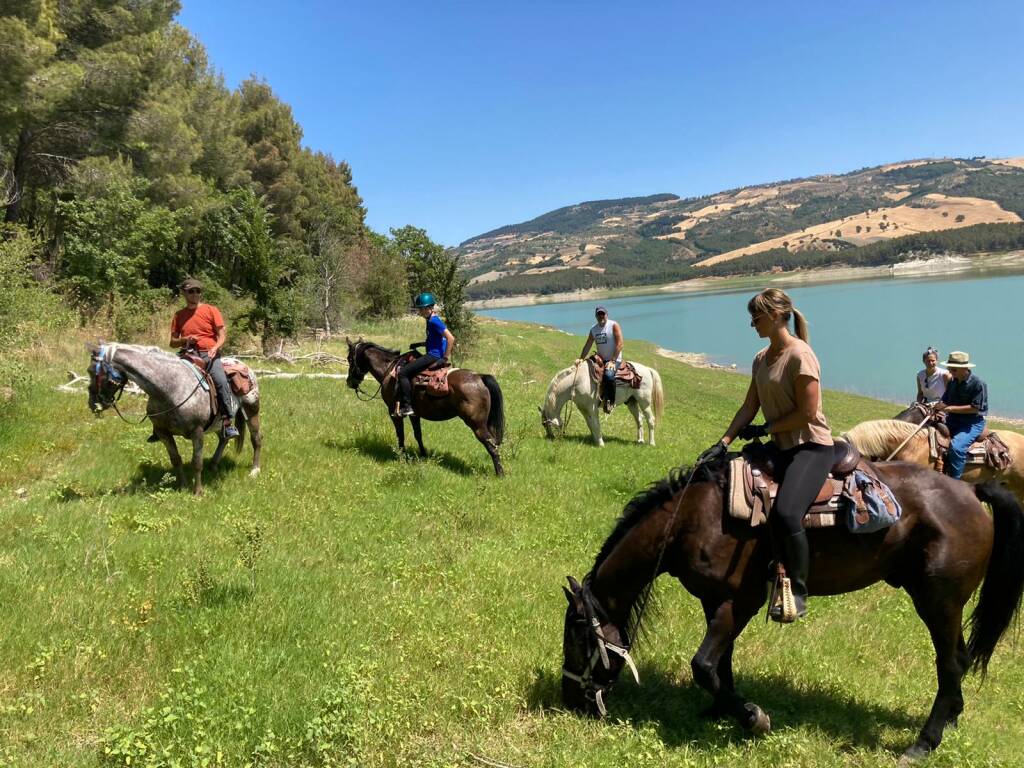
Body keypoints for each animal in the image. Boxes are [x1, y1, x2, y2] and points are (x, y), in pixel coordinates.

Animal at [88, 344, 262, 499]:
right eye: (89, 371)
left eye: (94, 372)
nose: (92, 404)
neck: (170, 388)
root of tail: (246, 367)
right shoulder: (162, 432)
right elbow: (176, 459)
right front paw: (183, 486)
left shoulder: (197, 431)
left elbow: (196, 462)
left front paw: (198, 492)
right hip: (219, 422)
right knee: (224, 438)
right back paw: (213, 464)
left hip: (252, 411)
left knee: (256, 439)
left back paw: (254, 471)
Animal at [346, 342, 505, 479]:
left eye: (349, 359)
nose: (349, 382)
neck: (389, 370)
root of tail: (479, 377)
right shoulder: (414, 414)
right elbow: (418, 435)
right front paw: (423, 455)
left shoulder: (394, 413)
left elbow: (400, 436)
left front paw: (401, 457)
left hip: (476, 424)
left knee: (491, 445)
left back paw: (500, 474)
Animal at [561, 456, 1024, 765]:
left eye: (580, 635)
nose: (570, 701)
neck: (692, 519)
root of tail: (970, 491)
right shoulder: (716, 601)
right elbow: (720, 663)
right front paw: (721, 710)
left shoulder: (741, 602)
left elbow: (703, 665)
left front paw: (752, 717)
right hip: (944, 604)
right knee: (959, 659)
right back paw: (951, 720)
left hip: (937, 601)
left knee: (949, 663)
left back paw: (923, 743)